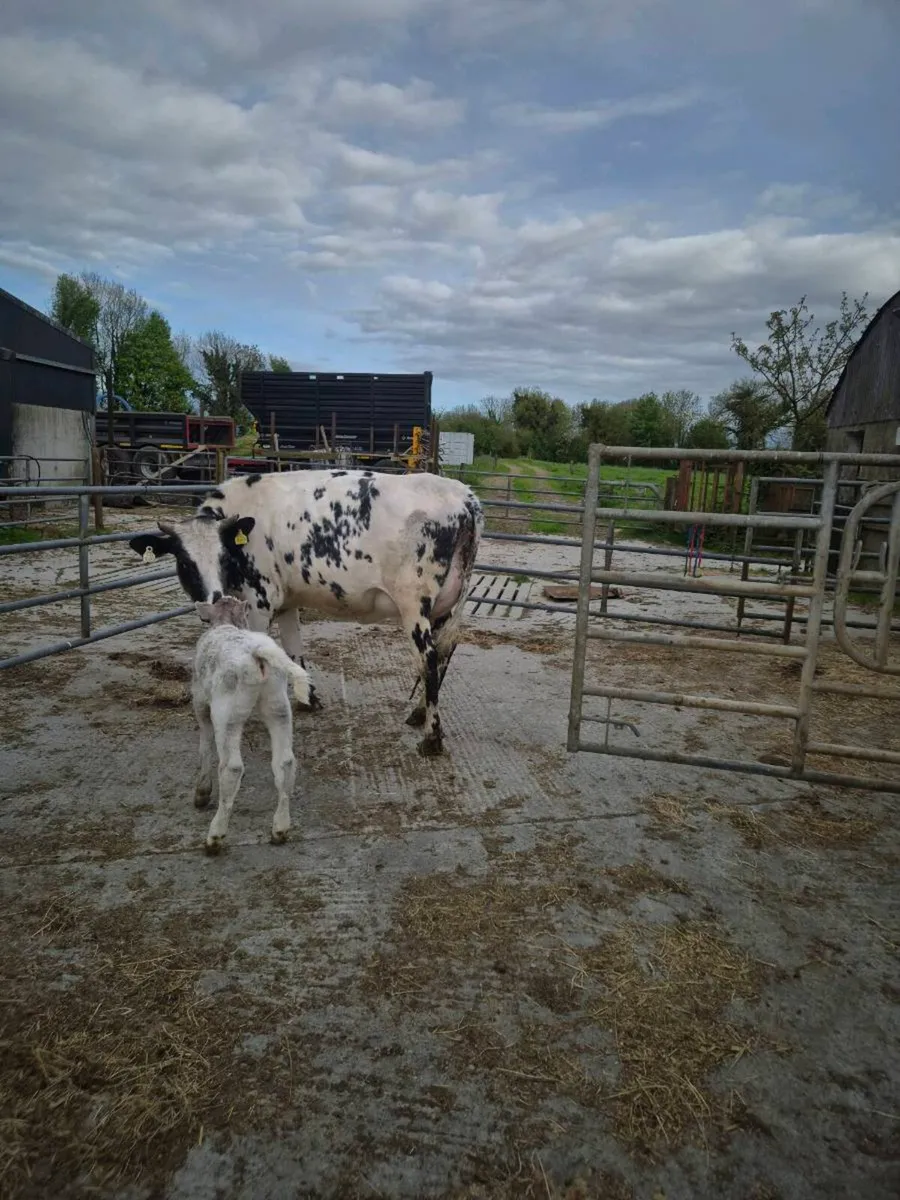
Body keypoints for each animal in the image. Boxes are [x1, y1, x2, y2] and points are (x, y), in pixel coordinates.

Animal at [128, 468, 484, 756]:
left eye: (224, 557)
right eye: (185, 562)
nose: (212, 603)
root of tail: (462, 495)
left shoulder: (260, 601)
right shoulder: (286, 601)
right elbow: (293, 649)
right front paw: (308, 698)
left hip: (414, 602)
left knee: (429, 660)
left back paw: (432, 738)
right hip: (450, 602)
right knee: (445, 650)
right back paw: (419, 714)